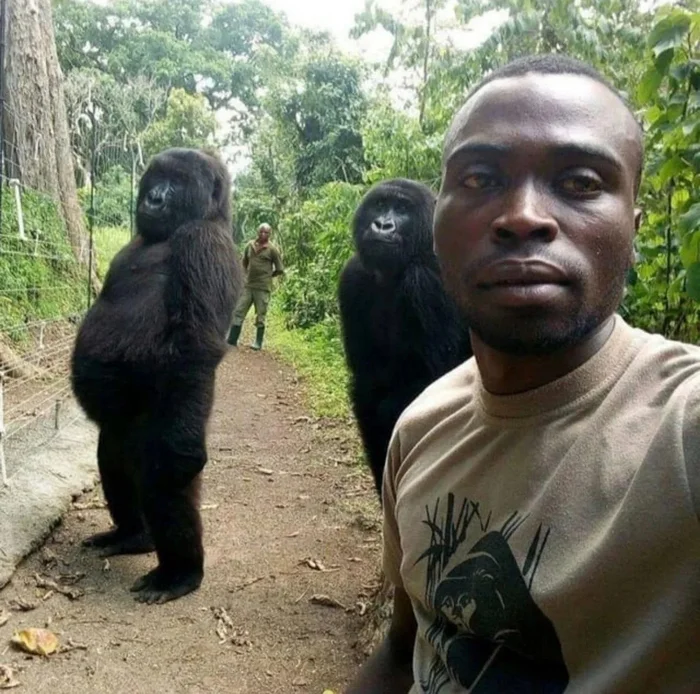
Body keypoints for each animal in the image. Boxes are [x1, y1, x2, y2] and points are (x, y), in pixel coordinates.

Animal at [71, 147, 241, 604]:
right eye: (156, 178)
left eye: (177, 183)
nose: (155, 198)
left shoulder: (203, 244)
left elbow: (195, 349)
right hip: (120, 431)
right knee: (112, 458)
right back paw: (132, 536)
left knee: (164, 480)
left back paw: (180, 573)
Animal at [340, 177, 470, 498]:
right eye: (379, 204)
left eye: (401, 209)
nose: (382, 225)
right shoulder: (353, 277)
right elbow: (367, 390)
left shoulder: (427, 282)